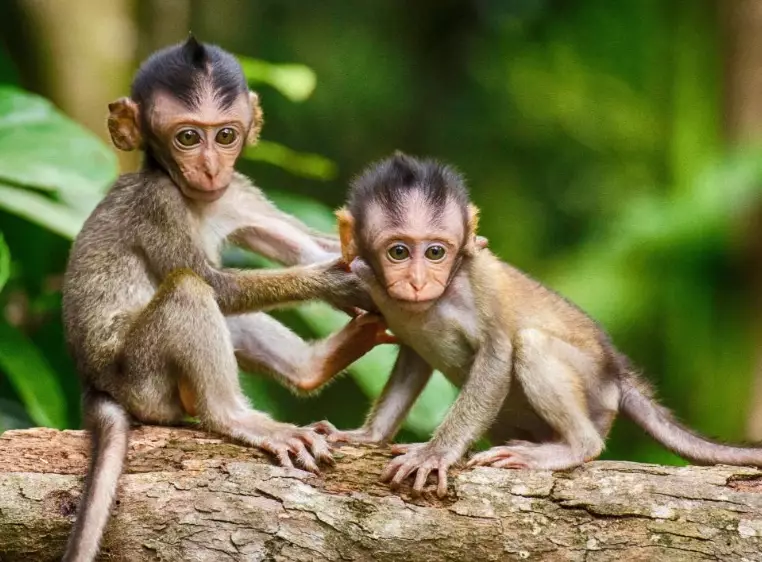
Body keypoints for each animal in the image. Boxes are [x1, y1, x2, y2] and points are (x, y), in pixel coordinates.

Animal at [60, 37, 391, 562]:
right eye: (187, 138)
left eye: (226, 136)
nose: (211, 166)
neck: (197, 199)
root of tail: (95, 384)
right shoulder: (158, 202)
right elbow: (213, 284)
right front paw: (336, 282)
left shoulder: (236, 192)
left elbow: (303, 244)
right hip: (143, 380)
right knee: (188, 290)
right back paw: (237, 417)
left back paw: (313, 366)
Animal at [311, 151, 762, 499]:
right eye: (399, 252)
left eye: (436, 252)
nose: (419, 281)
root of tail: (616, 372)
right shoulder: (372, 284)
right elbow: (412, 359)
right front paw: (367, 436)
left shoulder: (480, 281)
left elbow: (497, 355)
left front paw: (436, 453)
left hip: (594, 392)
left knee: (531, 344)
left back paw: (572, 447)